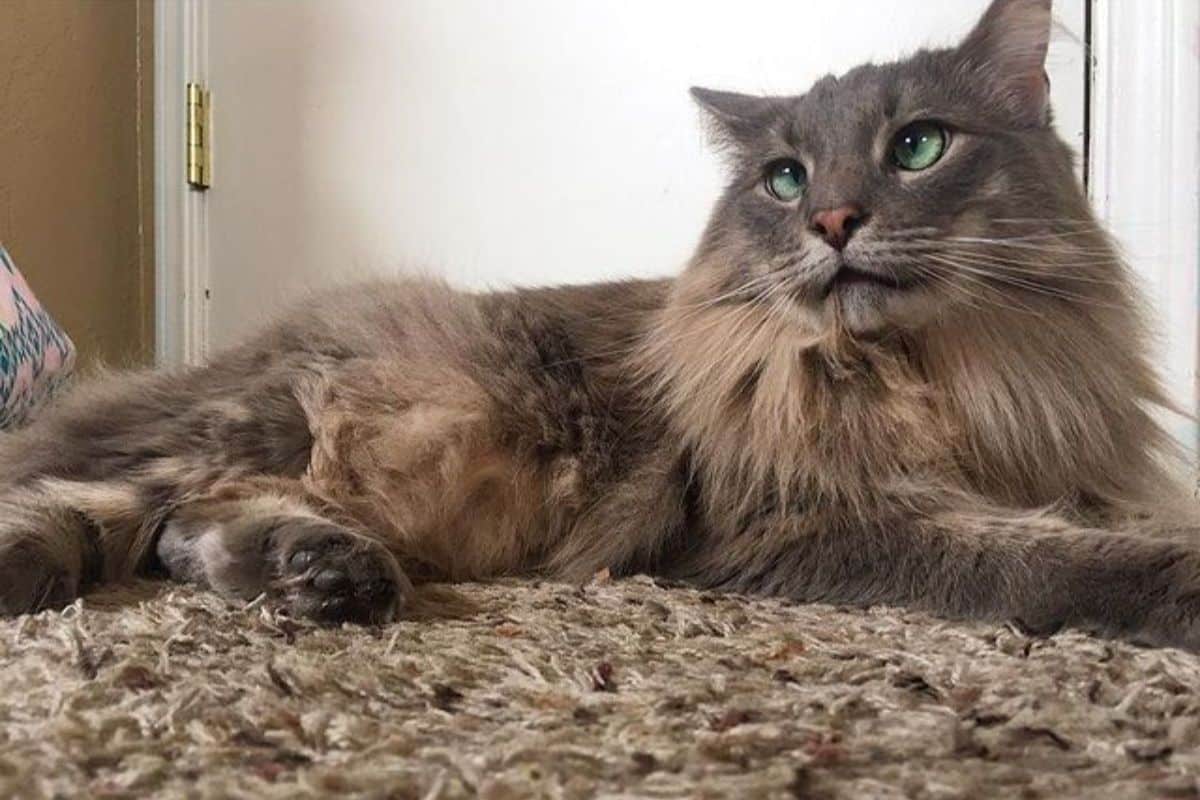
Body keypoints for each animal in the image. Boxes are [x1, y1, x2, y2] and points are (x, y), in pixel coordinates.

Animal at [2, 0, 1200, 652]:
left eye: (918, 147)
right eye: (783, 177)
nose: (832, 218)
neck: (939, 374)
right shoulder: (799, 518)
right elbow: (1042, 559)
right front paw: (1172, 581)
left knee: (184, 528)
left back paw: (329, 576)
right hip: (320, 418)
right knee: (141, 503)